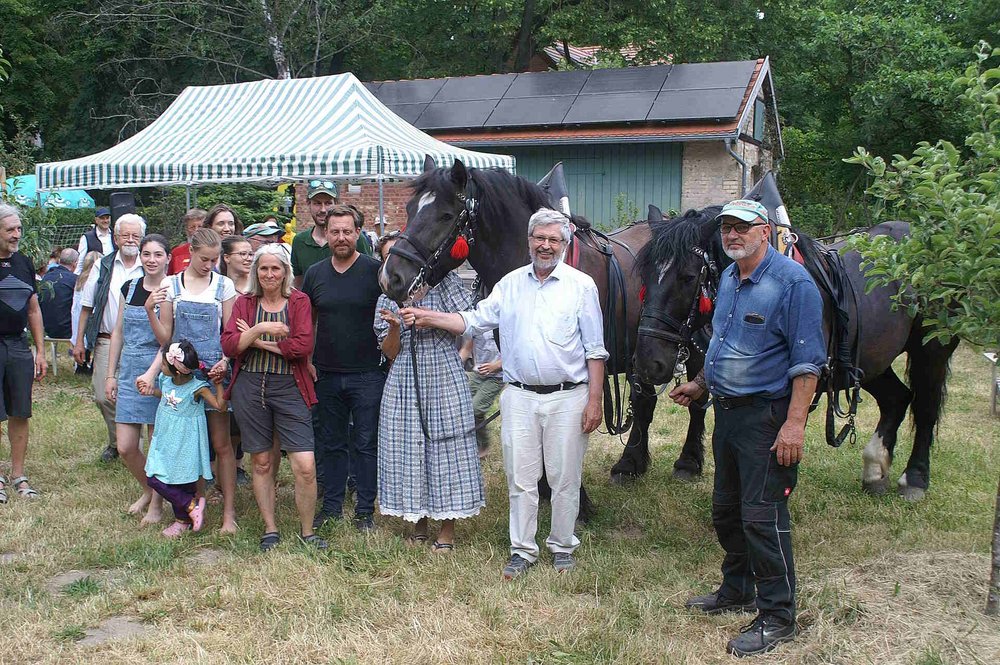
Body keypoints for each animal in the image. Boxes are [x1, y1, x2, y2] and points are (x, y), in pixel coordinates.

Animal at [376, 161, 712, 504]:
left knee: (697, 400)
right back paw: (629, 464)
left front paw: (574, 499)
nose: (392, 278)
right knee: (645, 403)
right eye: (409, 209)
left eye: (445, 215)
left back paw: (687, 462)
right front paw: (543, 488)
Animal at [636, 208, 956, 498]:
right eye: (644, 276)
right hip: (868, 361)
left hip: (931, 351)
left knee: (925, 407)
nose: (649, 363)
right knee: (897, 399)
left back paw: (914, 479)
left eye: (688, 277)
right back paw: (875, 471)